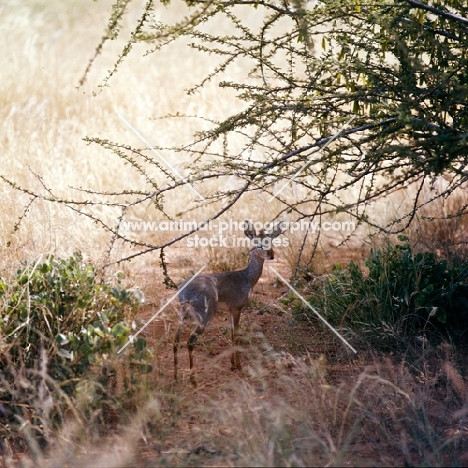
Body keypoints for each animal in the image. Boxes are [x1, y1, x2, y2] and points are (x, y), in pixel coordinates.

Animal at [173, 221, 280, 386]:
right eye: (259, 244)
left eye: (271, 241)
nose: (271, 255)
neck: (246, 278)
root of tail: (184, 291)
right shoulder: (237, 308)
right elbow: (236, 335)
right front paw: (240, 367)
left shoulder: (229, 310)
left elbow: (231, 334)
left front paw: (232, 364)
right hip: (205, 316)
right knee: (190, 341)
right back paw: (193, 380)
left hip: (182, 315)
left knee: (176, 341)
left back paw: (176, 378)